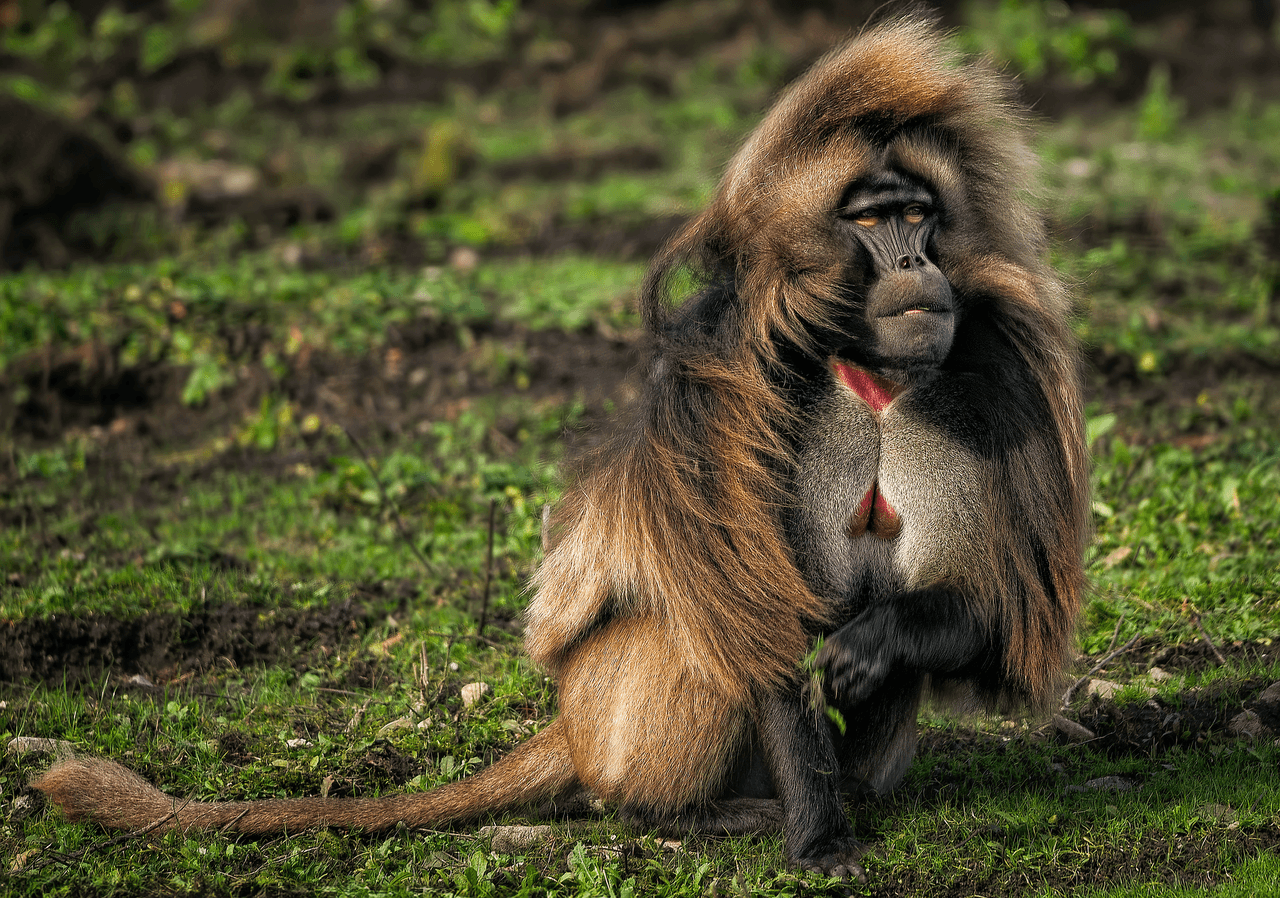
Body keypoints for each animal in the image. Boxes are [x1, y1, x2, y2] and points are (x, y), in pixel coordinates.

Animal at [32, 17, 1088, 880]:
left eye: (918, 213)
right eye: (869, 221)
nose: (915, 263)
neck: (859, 369)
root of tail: (569, 727)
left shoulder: (996, 377)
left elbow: (993, 607)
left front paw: (876, 642)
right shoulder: (722, 381)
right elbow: (753, 630)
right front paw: (820, 840)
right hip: (613, 712)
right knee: (684, 628)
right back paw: (694, 817)